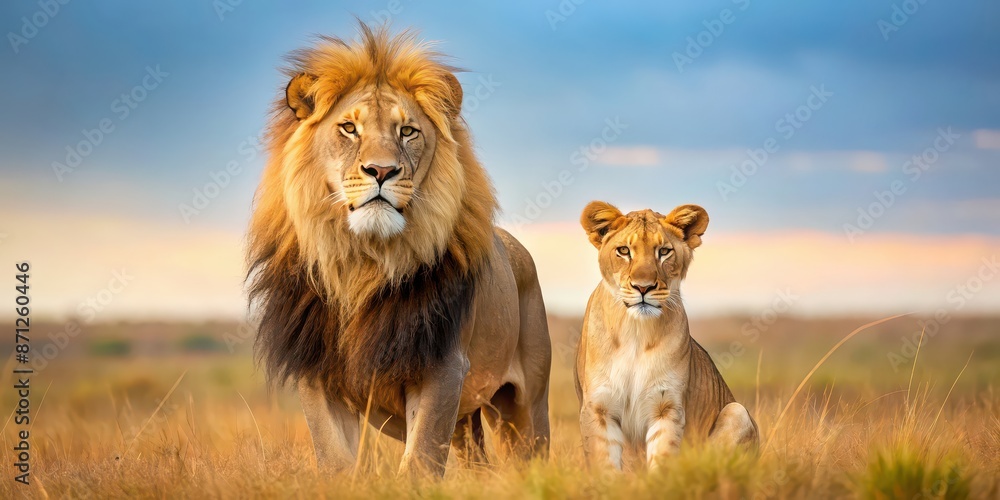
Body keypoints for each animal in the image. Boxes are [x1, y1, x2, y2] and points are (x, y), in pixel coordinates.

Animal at [246, 24, 551, 477]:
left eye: (407, 131)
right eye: (349, 129)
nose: (382, 170)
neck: (364, 261)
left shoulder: (442, 368)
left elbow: (419, 461)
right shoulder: (316, 373)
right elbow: (334, 459)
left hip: (525, 404)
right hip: (466, 421)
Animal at [575, 201, 758, 470]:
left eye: (663, 251)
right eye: (623, 251)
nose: (643, 287)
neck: (636, 332)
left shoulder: (667, 406)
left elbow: (663, 460)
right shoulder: (598, 408)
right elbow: (605, 466)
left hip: (737, 411)